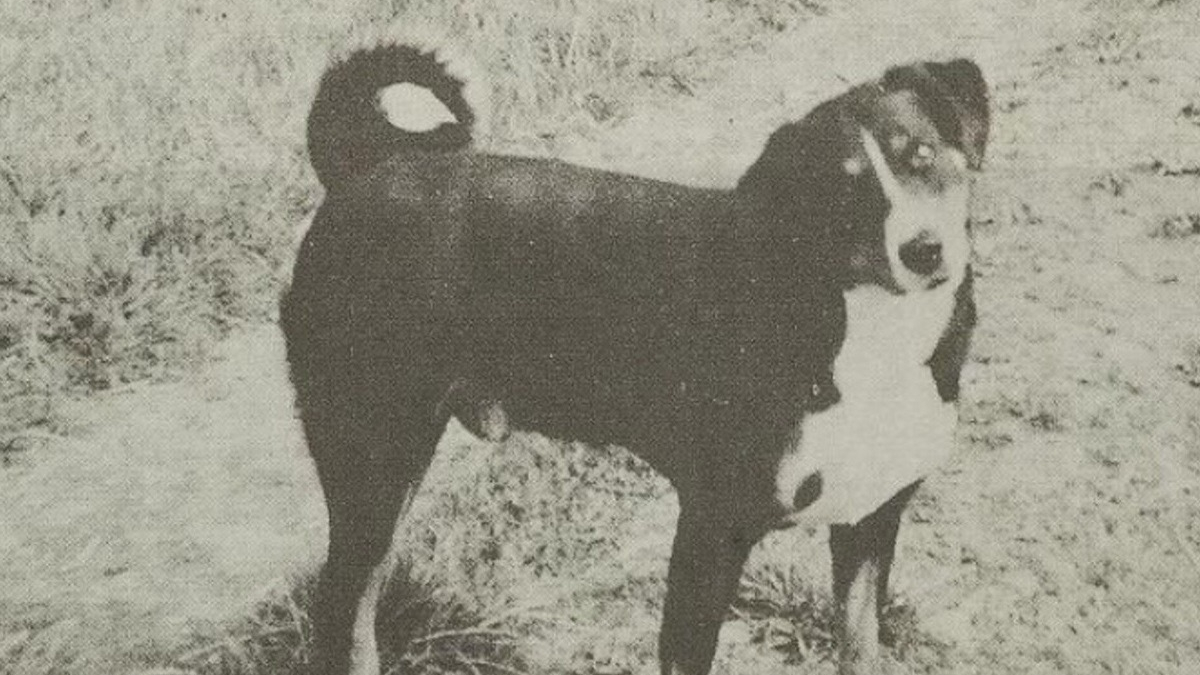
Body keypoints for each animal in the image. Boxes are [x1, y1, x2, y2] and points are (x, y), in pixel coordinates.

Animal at [280, 38, 984, 672]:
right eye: (842, 191)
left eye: (921, 154)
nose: (924, 250)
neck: (868, 328)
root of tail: (368, 169)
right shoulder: (713, 528)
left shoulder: (871, 523)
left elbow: (861, 646)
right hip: (373, 462)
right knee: (345, 618)